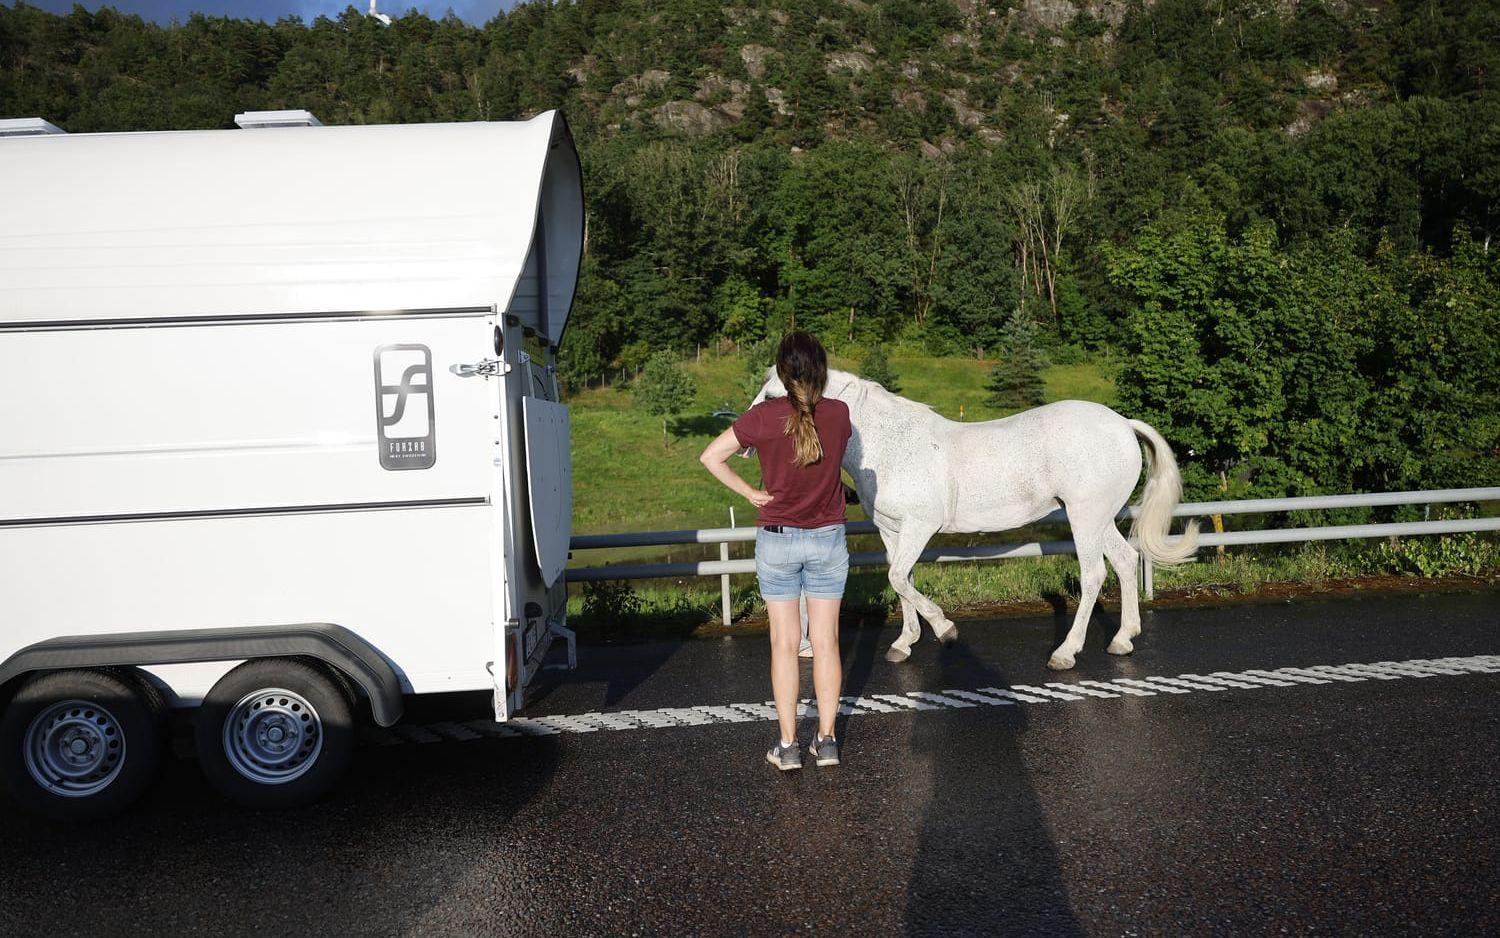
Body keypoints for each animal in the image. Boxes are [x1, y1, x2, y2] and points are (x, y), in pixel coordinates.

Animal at [756, 369, 1200, 669]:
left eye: (771, 396)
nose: (745, 439)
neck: (892, 446)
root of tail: (1123, 424)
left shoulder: (920, 526)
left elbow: (898, 578)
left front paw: (945, 629)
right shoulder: (892, 530)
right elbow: (903, 580)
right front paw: (904, 644)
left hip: (1085, 517)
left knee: (1094, 575)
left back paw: (1066, 652)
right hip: (1099, 518)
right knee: (1125, 561)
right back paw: (1123, 639)